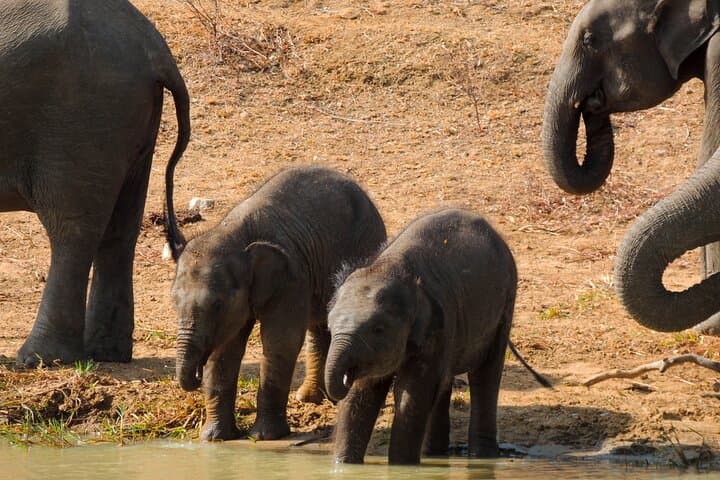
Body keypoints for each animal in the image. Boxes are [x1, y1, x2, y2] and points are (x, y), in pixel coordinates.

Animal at [0, 0, 190, 367]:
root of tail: (155, 48)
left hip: (80, 119)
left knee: (72, 232)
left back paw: (40, 359)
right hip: (126, 126)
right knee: (120, 231)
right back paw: (108, 354)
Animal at [168, 166, 387, 441]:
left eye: (217, 304)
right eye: (174, 302)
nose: (196, 373)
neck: (234, 234)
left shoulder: (291, 278)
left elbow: (281, 341)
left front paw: (264, 436)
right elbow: (226, 349)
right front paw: (215, 438)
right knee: (319, 324)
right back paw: (310, 398)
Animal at [324, 209, 550, 465]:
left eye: (378, 329)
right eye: (330, 327)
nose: (345, 376)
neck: (392, 266)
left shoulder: (437, 326)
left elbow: (411, 393)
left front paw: (401, 466)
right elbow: (361, 395)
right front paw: (343, 465)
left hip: (504, 305)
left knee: (485, 374)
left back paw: (481, 456)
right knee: (444, 381)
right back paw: (435, 453)